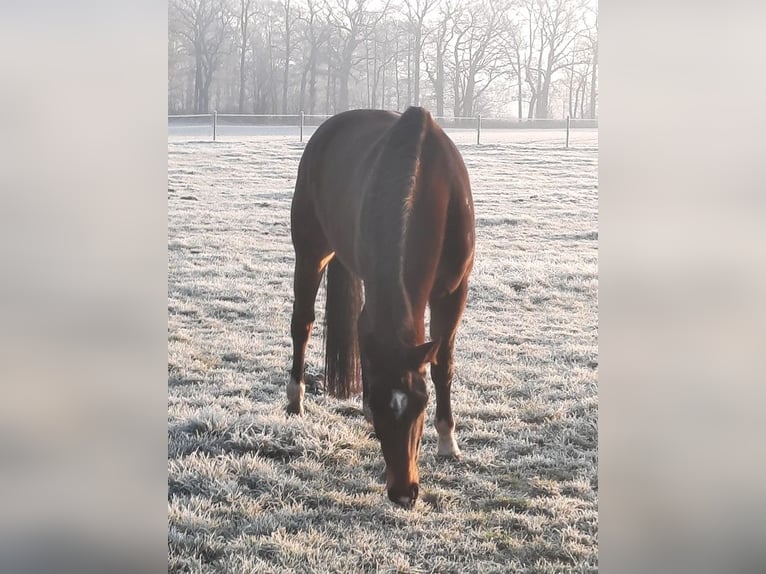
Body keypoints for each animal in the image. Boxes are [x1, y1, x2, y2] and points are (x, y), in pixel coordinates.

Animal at [286, 108, 474, 508]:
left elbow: (443, 365)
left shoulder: (453, 292)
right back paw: (295, 399)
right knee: (302, 323)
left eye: (421, 404)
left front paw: (447, 441)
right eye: (379, 404)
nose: (403, 493)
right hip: (311, 252)